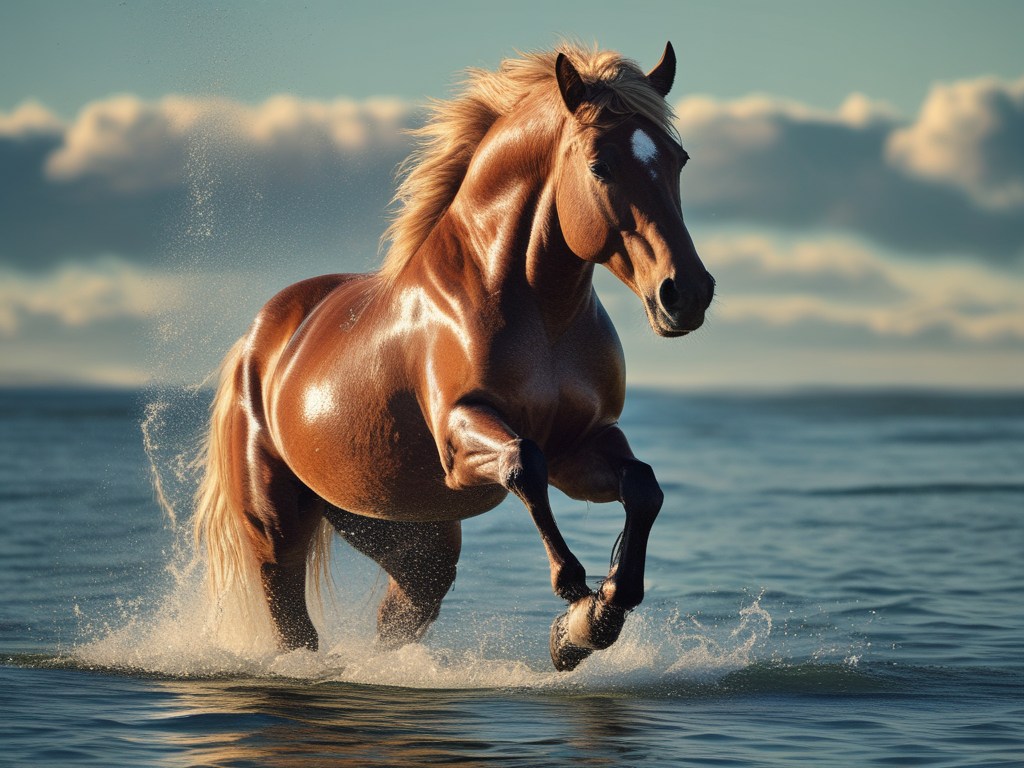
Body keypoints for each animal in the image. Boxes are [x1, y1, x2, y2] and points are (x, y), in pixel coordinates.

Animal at [194, 42, 714, 671]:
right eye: (600, 166)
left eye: (679, 159)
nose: (686, 293)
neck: (537, 312)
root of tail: (257, 340)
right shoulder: (463, 435)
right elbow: (523, 463)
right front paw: (574, 598)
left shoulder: (581, 443)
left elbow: (642, 485)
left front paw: (594, 618)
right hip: (277, 530)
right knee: (295, 626)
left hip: (411, 538)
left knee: (398, 618)